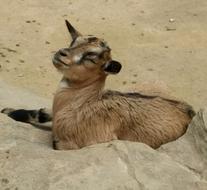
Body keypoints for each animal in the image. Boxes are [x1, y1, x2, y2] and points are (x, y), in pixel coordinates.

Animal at [1, 19, 196, 150]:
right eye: (73, 42)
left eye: (91, 57)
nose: (61, 53)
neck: (80, 105)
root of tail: (190, 110)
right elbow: (39, 113)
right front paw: (7, 111)